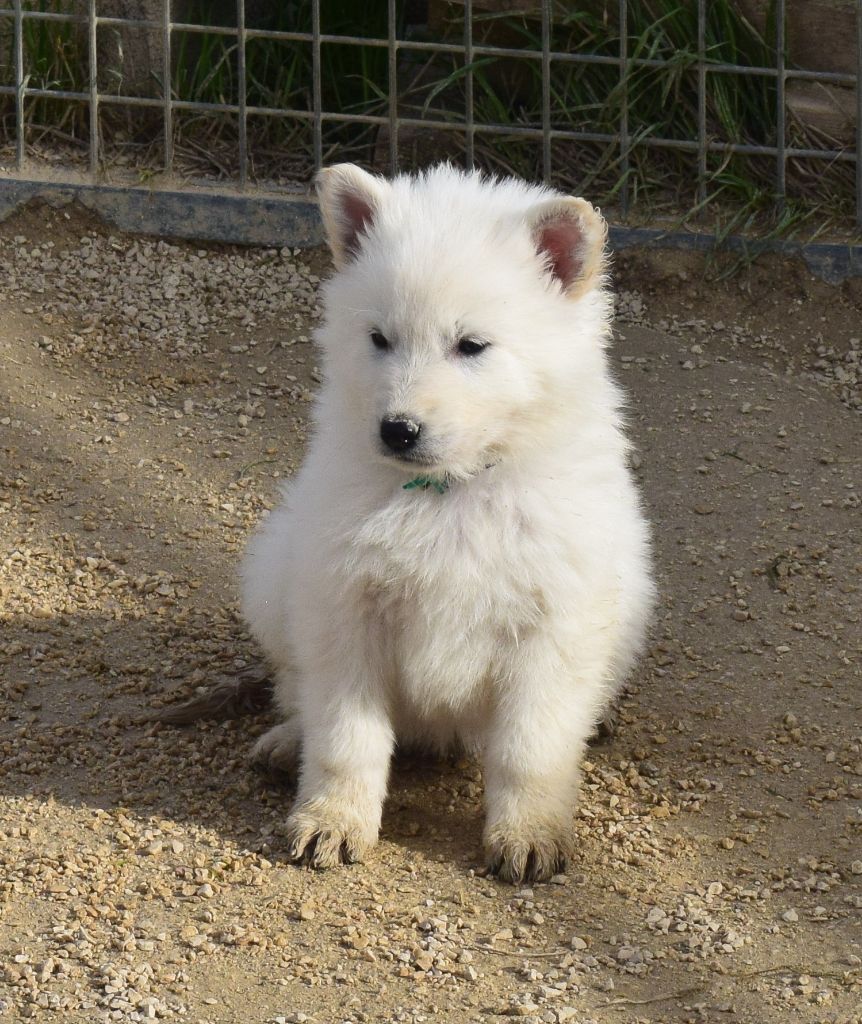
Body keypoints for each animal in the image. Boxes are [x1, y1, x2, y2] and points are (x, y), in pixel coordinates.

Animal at [241, 163, 651, 884]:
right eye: (379, 338)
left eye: (472, 346)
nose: (397, 430)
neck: (448, 494)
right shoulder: (346, 610)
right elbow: (346, 736)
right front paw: (331, 821)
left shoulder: (552, 626)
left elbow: (529, 748)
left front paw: (529, 834)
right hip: (274, 577)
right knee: (297, 687)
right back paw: (286, 740)